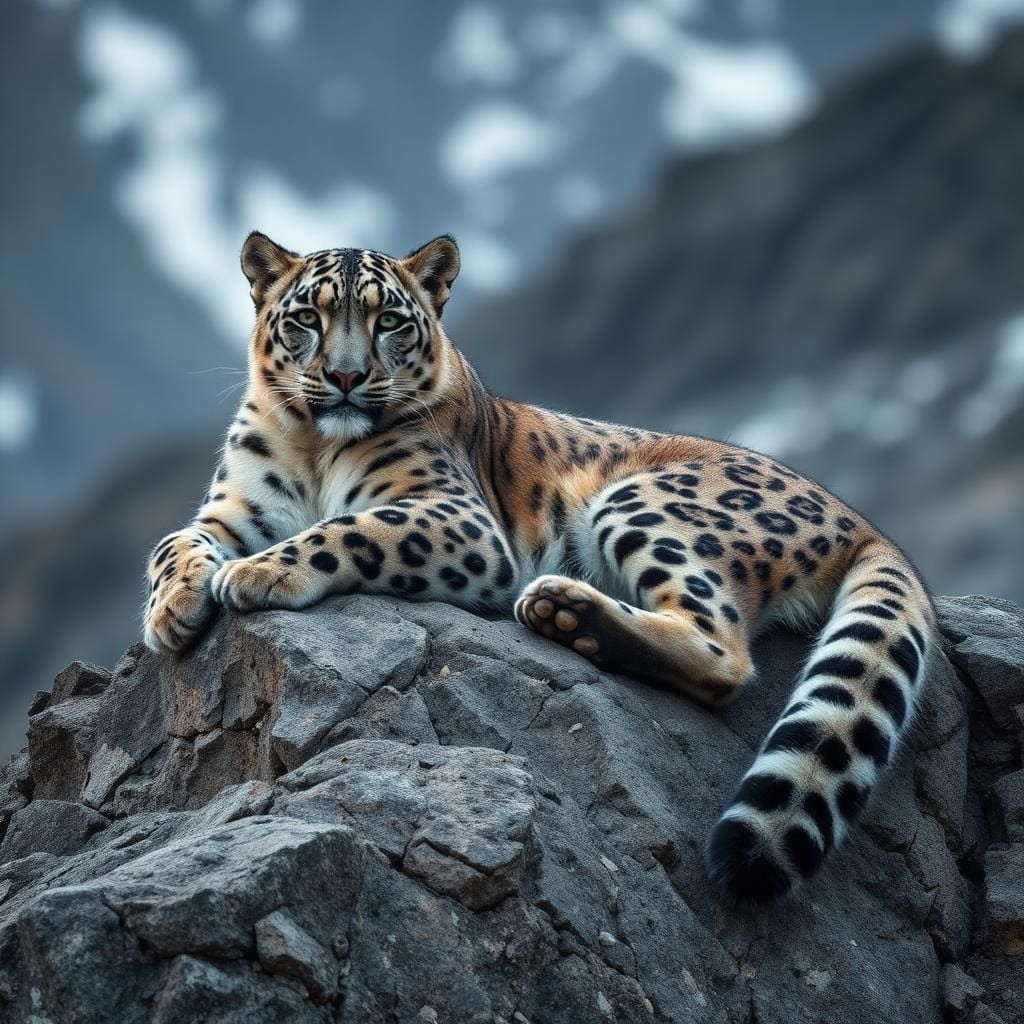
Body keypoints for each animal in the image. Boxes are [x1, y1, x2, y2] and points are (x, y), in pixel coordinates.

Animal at [143, 230, 936, 904]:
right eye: (307, 316)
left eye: (389, 321)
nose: (344, 376)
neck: (311, 446)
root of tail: (862, 520)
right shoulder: (229, 511)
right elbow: (171, 543)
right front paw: (173, 607)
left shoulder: (454, 515)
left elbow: (352, 528)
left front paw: (257, 574)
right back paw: (564, 617)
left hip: (641, 504)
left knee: (725, 655)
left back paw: (565, 608)